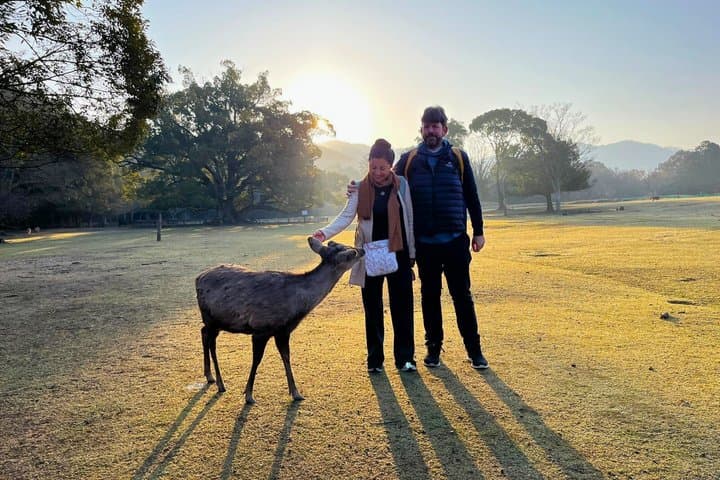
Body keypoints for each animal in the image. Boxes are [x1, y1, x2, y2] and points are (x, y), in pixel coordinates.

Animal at [195, 237, 364, 404]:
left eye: (336, 243)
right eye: (351, 253)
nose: (362, 249)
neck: (297, 306)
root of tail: (198, 278)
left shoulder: (283, 331)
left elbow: (286, 356)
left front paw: (296, 393)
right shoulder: (260, 328)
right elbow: (257, 360)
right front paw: (249, 395)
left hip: (216, 322)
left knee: (203, 333)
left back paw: (210, 376)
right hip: (210, 318)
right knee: (211, 342)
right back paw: (220, 383)